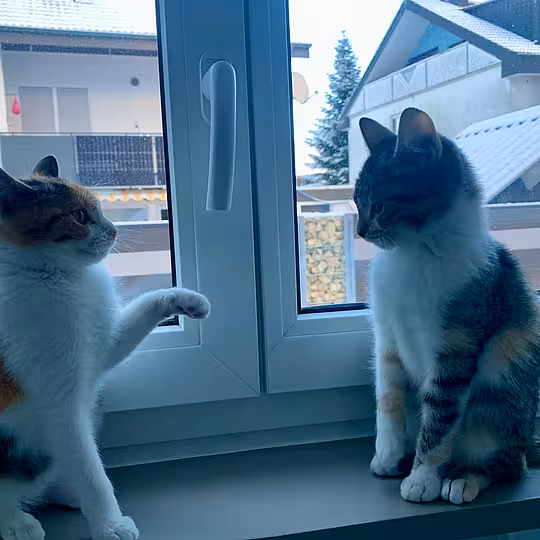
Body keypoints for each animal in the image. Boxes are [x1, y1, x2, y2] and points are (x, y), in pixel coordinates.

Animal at [0, 155, 210, 539]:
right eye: (80, 216)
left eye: (98, 209)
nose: (113, 230)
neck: (62, 279)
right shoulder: (60, 404)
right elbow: (88, 465)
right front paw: (109, 523)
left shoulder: (101, 348)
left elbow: (136, 317)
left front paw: (189, 300)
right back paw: (18, 521)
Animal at [355, 108, 540, 505]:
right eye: (356, 203)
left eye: (378, 205)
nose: (360, 230)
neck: (414, 252)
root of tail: (525, 442)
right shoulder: (386, 337)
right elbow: (387, 397)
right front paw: (388, 454)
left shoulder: (457, 346)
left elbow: (440, 416)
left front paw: (423, 478)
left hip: (497, 398)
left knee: (509, 466)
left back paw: (462, 477)